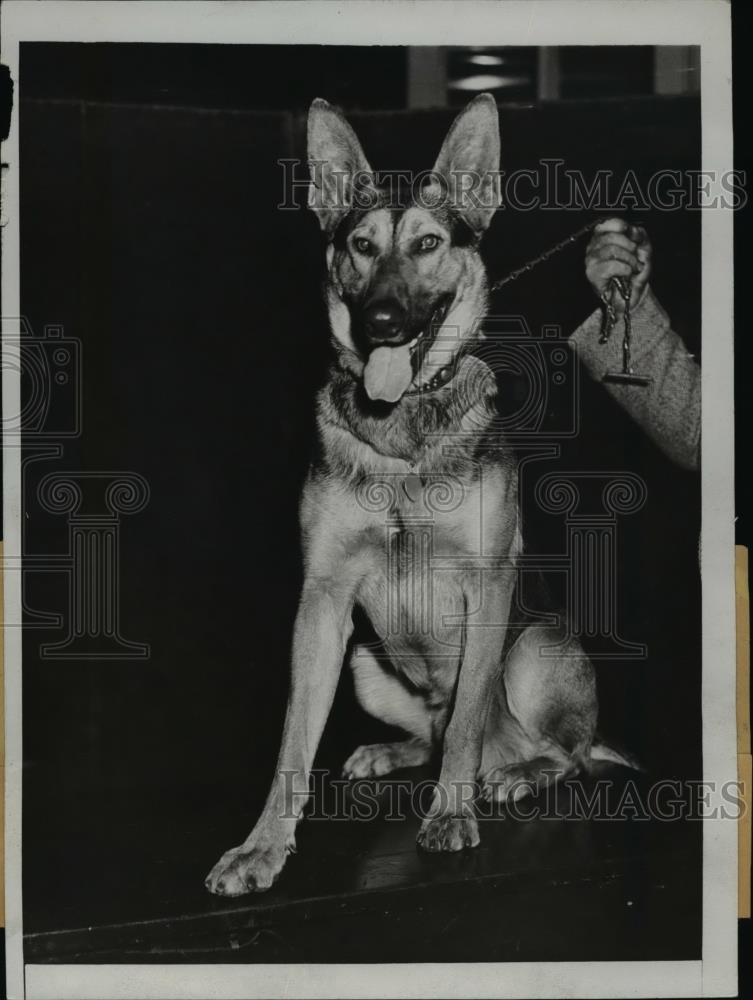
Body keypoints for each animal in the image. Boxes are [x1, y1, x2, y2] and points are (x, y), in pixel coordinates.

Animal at [204, 94, 628, 896]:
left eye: (429, 243)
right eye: (360, 246)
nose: (381, 323)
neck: (401, 430)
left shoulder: (487, 586)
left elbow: (462, 727)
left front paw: (452, 815)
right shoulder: (322, 601)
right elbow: (293, 742)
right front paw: (261, 847)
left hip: (535, 650)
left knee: (550, 752)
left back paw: (517, 773)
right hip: (365, 661)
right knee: (430, 735)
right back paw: (393, 752)